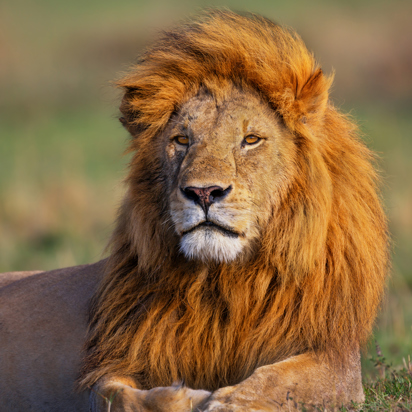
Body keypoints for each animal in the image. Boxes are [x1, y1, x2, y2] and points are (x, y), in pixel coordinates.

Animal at [0, 9, 388, 412]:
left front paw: (226, 402)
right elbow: (121, 397)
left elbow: (278, 381)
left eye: (251, 140)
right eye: (182, 140)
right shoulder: (109, 364)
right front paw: (187, 397)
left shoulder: (336, 361)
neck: (225, 281)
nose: (203, 192)